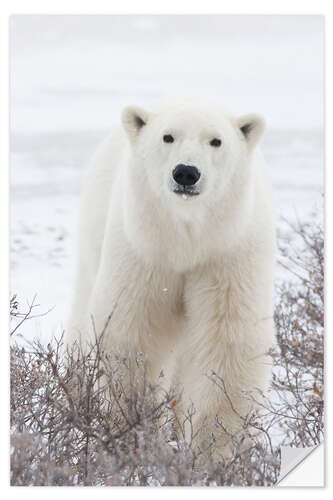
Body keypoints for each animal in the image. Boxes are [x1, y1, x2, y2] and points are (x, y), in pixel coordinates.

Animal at [66, 97, 274, 458]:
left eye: (216, 141)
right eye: (167, 136)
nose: (186, 172)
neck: (186, 239)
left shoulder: (227, 252)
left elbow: (226, 340)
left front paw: (212, 449)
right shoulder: (145, 249)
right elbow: (134, 332)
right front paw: (132, 433)